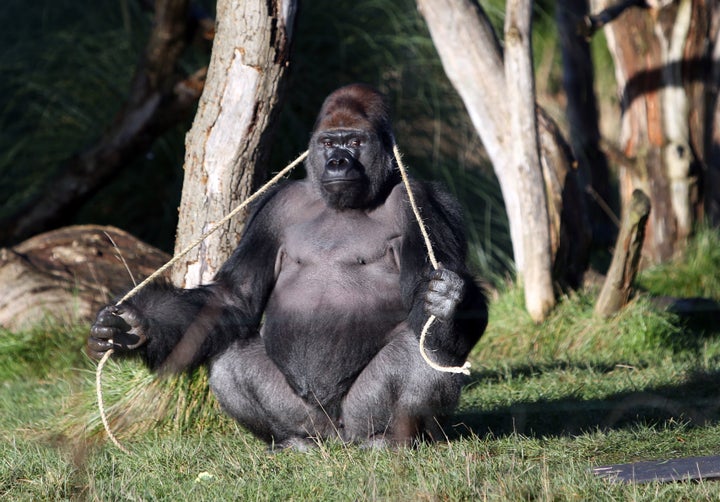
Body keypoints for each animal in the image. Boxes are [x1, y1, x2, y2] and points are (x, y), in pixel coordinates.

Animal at [87, 84, 486, 450]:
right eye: (329, 144)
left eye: (356, 142)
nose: (338, 162)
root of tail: (335, 438)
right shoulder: (273, 208)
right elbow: (235, 298)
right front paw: (135, 326)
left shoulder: (424, 202)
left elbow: (429, 307)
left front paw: (450, 302)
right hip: (305, 417)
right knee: (231, 355)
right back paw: (292, 440)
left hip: (356, 422)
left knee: (425, 351)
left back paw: (389, 439)